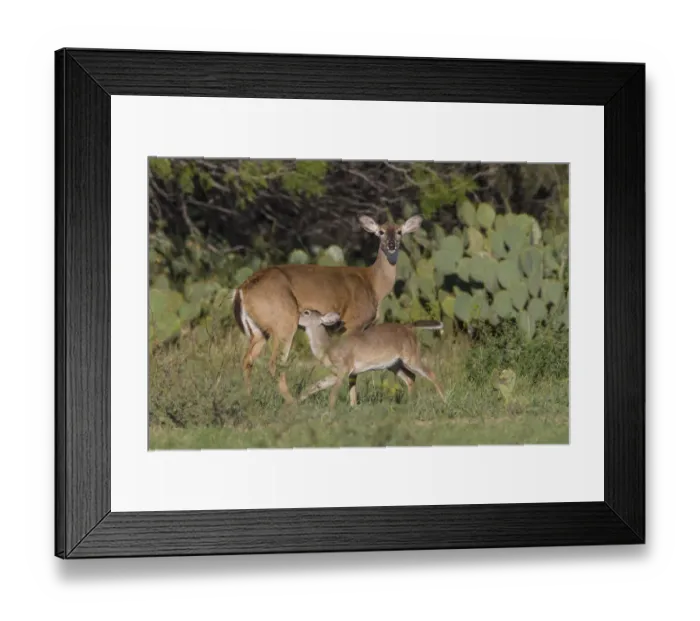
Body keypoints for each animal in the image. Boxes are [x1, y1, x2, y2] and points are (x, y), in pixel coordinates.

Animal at [231, 214, 424, 404]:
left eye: (399, 232)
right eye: (381, 232)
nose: (391, 245)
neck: (373, 284)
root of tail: (241, 290)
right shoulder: (353, 323)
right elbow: (352, 370)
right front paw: (353, 404)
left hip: (259, 330)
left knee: (247, 360)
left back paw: (249, 399)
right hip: (284, 321)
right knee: (274, 363)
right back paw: (292, 402)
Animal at [296, 308, 447, 409]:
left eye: (306, 312)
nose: (296, 317)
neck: (328, 348)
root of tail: (408, 327)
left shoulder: (344, 366)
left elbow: (333, 392)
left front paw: (331, 410)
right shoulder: (339, 372)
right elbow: (317, 385)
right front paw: (297, 401)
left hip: (411, 356)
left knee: (430, 373)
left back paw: (444, 400)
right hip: (394, 364)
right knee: (410, 377)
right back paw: (411, 404)